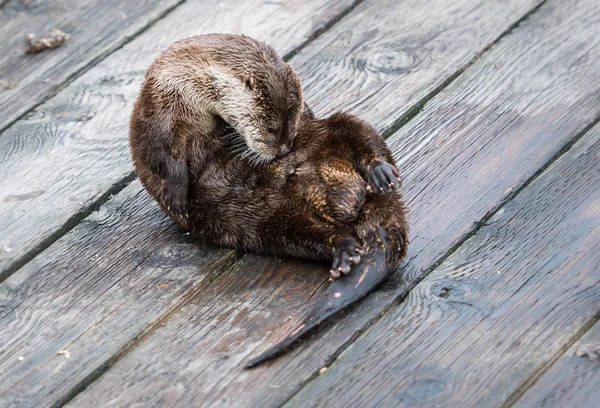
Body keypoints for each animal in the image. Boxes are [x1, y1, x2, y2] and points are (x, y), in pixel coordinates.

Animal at [129, 33, 308, 217]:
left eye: (294, 126)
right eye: (270, 128)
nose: (284, 150)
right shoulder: (159, 110)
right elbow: (157, 151)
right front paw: (176, 195)